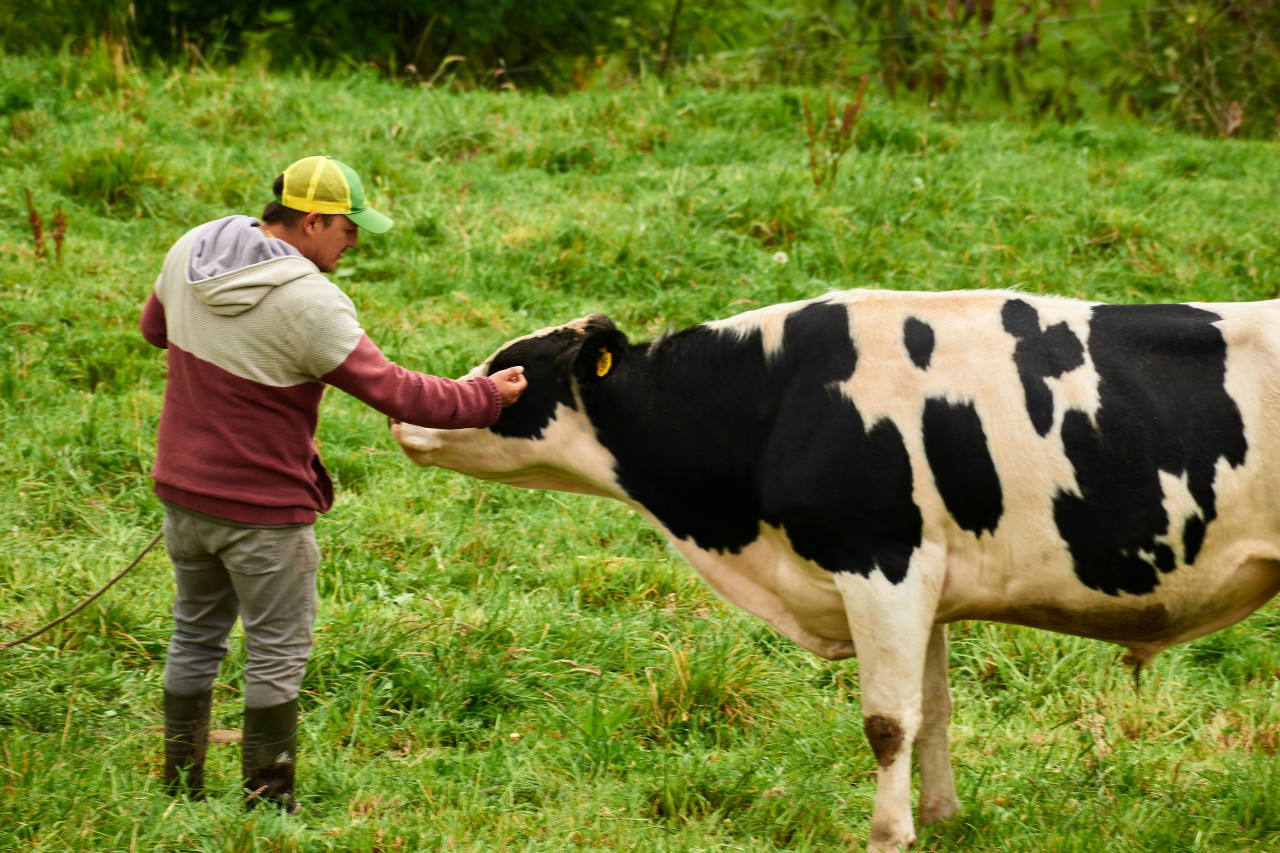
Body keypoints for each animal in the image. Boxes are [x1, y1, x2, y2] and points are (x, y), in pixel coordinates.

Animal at [389, 289, 1280, 845]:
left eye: (512, 372)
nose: (406, 414)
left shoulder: (881, 562)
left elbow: (887, 722)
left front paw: (888, 834)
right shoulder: (926, 580)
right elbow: (934, 709)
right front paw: (943, 819)